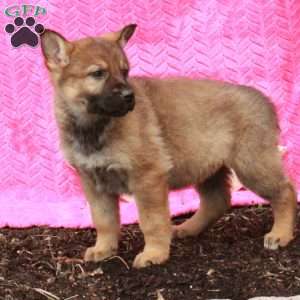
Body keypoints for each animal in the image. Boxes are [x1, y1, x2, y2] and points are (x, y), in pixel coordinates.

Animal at [40, 23, 298, 268]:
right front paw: (104, 249)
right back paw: (188, 228)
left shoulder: (147, 178)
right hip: (206, 165)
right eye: (98, 73)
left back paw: (280, 234)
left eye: (125, 71)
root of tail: (265, 100)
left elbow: (151, 222)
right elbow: (104, 221)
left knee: (285, 191)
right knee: (217, 200)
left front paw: (154, 254)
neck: (94, 125)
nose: (129, 96)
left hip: (251, 165)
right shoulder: (94, 183)